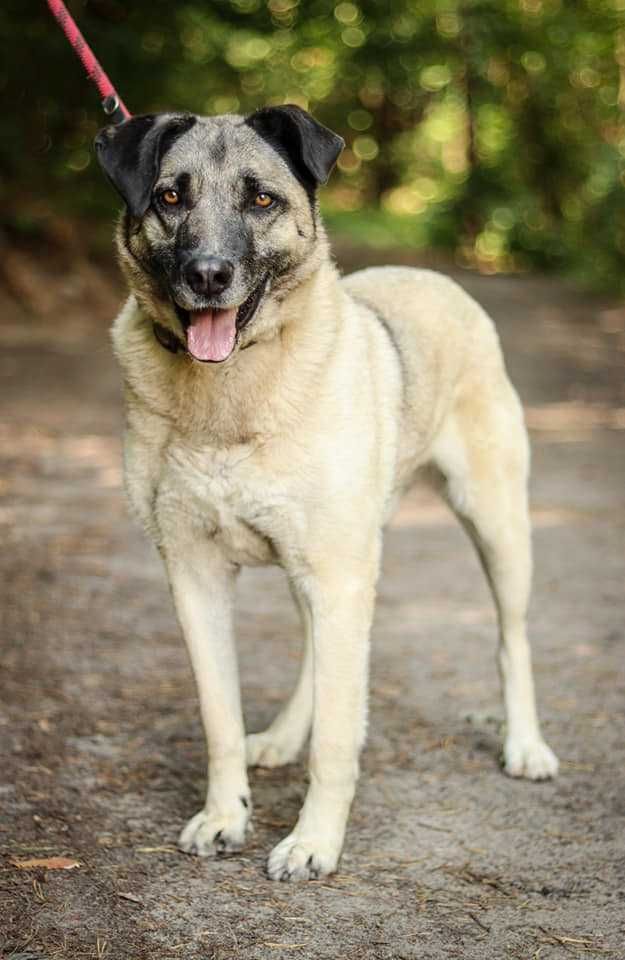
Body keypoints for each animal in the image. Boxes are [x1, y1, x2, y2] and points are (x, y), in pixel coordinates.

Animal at [95, 105, 560, 876]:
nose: (208, 275)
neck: (231, 393)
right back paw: (284, 737)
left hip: (494, 526)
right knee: (318, 650)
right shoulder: (194, 575)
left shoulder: (338, 575)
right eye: (169, 197)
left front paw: (314, 842)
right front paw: (226, 815)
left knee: (512, 641)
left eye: (261, 199)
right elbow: (219, 717)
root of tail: (431, 277)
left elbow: (340, 739)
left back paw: (525, 746)